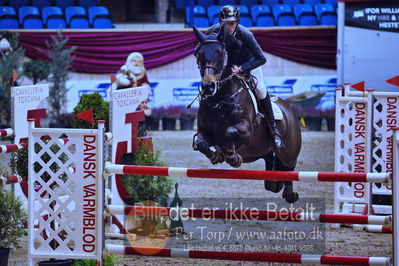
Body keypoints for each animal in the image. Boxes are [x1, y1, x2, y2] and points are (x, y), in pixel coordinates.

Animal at [192, 25, 302, 204]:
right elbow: (201, 143)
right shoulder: (204, 132)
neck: (220, 100)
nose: (208, 86)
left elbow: (230, 132)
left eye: (221, 53)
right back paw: (275, 184)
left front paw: (233, 157)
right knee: (271, 162)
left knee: (289, 167)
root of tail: (289, 110)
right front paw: (216, 156)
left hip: (289, 151)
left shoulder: (246, 131)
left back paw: (290, 194)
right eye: (198, 55)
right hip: (263, 150)